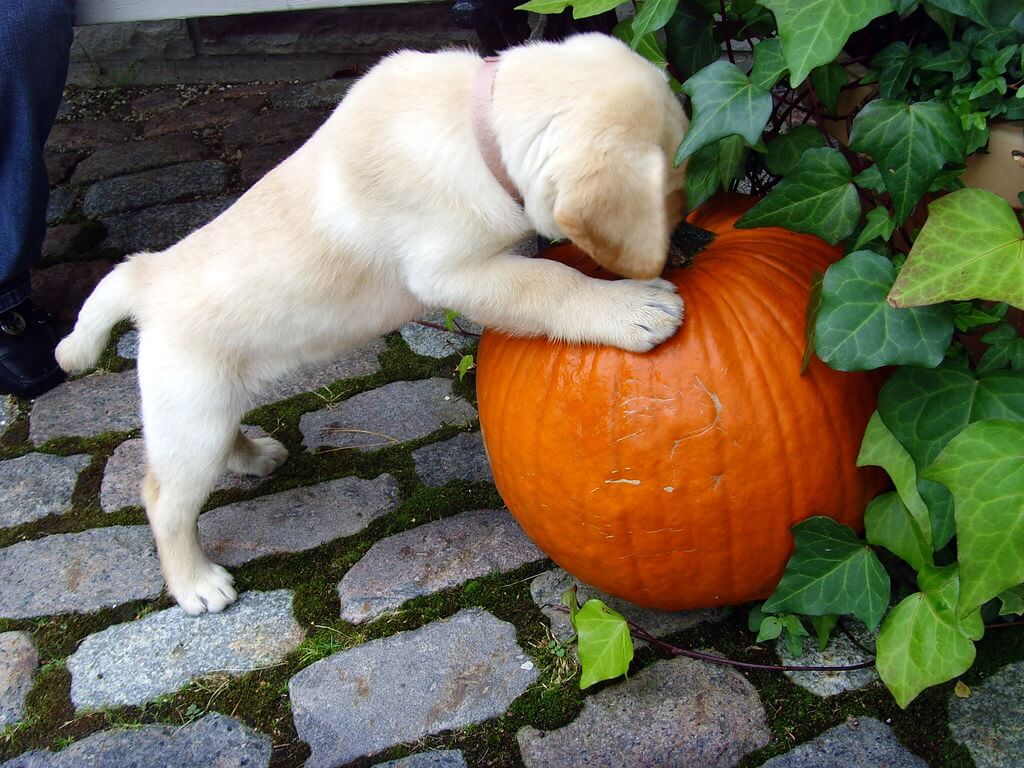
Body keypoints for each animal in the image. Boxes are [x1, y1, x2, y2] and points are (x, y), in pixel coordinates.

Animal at [54, 33, 688, 618]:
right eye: (669, 191)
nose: (689, 233)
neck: (474, 124)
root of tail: (146, 275)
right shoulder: (453, 274)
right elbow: (551, 283)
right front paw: (632, 308)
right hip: (192, 415)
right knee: (164, 500)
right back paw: (196, 584)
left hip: (217, 398)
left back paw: (254, 456)